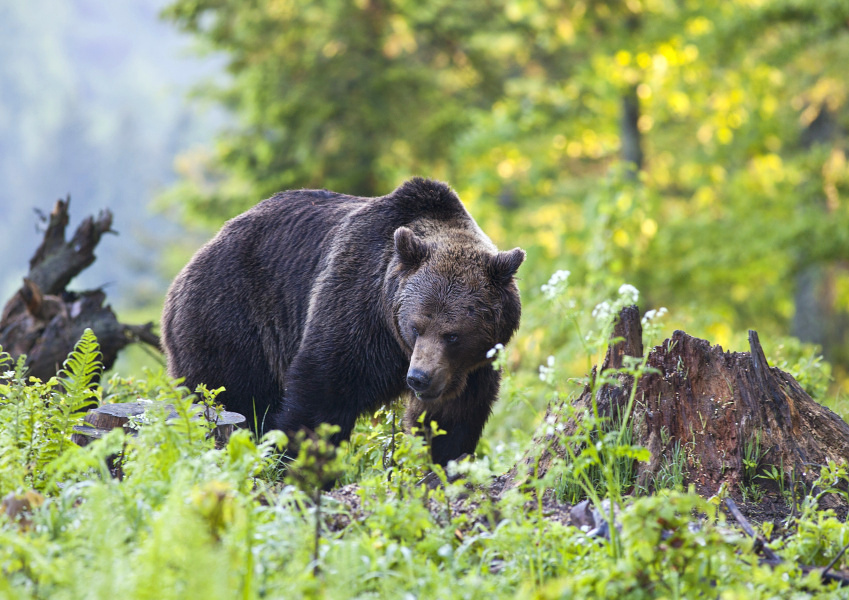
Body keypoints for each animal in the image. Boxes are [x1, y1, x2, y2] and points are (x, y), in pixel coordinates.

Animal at [161, 176, 524, 466]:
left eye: (453, 335)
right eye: (416, 326)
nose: (418, 378)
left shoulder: (473, 367)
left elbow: (452, 419)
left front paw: (444, 464)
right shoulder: (356, 308)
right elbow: (322, 394)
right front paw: (294, 462)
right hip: (232, 321)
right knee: (232, 396)